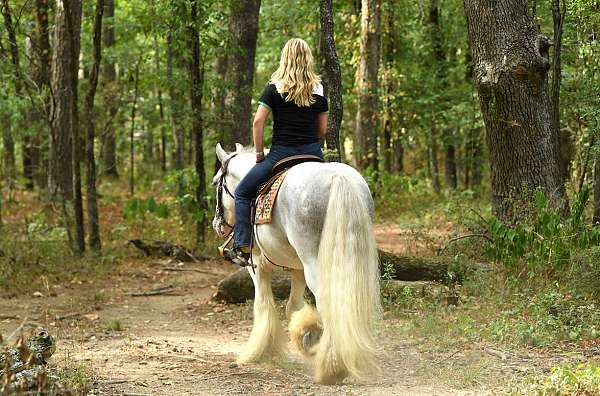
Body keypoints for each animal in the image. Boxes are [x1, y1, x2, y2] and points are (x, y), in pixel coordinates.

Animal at [211, 143, 380, 384]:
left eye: (216, 181)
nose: (217, 224)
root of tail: (338, 178)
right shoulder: (297, 269)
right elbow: (293, 306)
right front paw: (305, 335)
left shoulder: (256, 265)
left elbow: (263, 304)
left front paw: (262, 351)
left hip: (314, 265)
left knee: (328, 302)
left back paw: (331, 367)